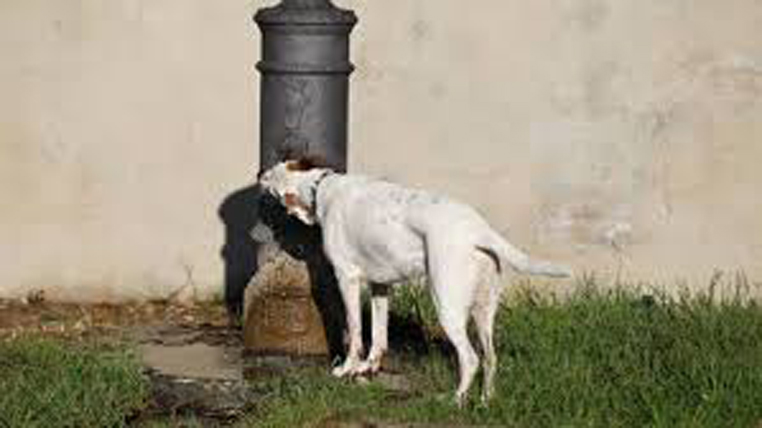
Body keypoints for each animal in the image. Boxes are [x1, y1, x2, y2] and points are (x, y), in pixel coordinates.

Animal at [258, 160, 568, 404]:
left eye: (271, 173)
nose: (259, 173)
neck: (322, 187)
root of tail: (478, 229)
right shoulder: (380, 286)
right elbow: (379, 337)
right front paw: (368, 368)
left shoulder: (347, 278)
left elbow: (356, 333)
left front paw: (347, 369)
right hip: (484, 312)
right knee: (491, 358)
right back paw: (484, 401)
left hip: (446, 306)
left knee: (471, 359)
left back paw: (456, 400)